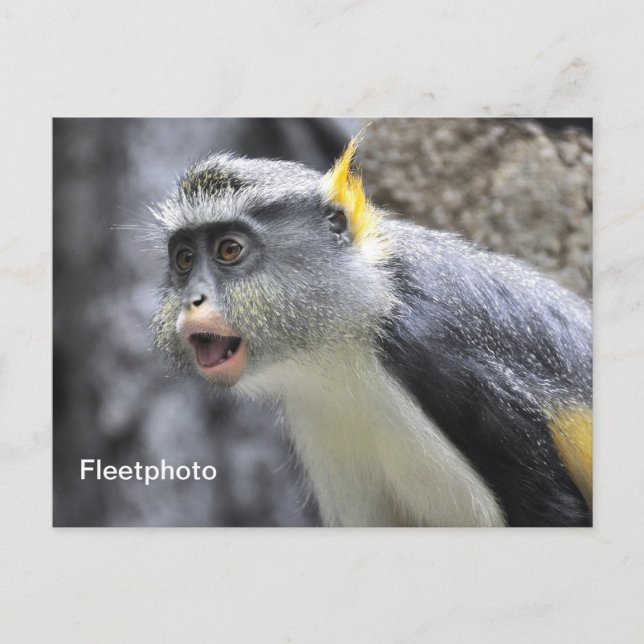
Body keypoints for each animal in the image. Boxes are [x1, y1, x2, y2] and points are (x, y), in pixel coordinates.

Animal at [151, 138, 592, 527]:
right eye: (185, 259)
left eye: (228, 250)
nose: (193, 299)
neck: (351, 335)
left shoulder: (437, 353)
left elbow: (552, 508)